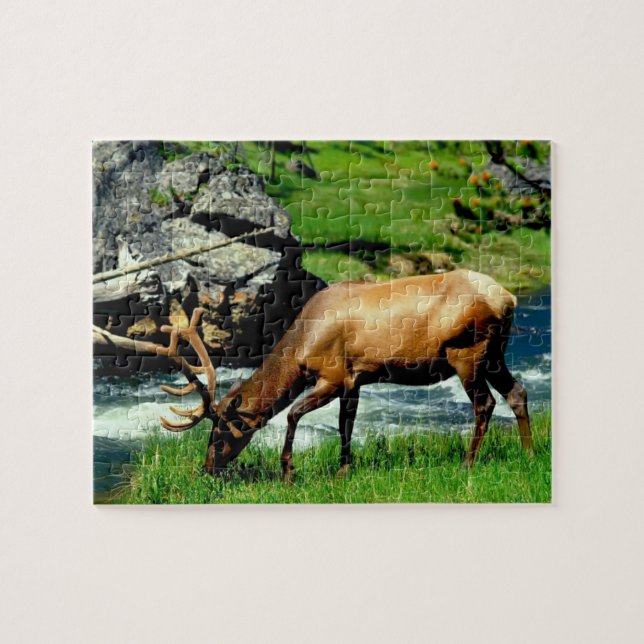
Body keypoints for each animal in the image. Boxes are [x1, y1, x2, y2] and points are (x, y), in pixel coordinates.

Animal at [149, 269, 532, 479]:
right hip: (495, 353)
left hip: (467, 351)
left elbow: (292, 414)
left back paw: (467, 463)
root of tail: (507, 298)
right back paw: (529, 453)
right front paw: (343, 470)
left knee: (484, 404)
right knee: (517, 392)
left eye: (218, 434)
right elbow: (344, 425)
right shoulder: (355, 378)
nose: (207, 468)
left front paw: (288, 472)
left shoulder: (332, 375)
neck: (302, 345)